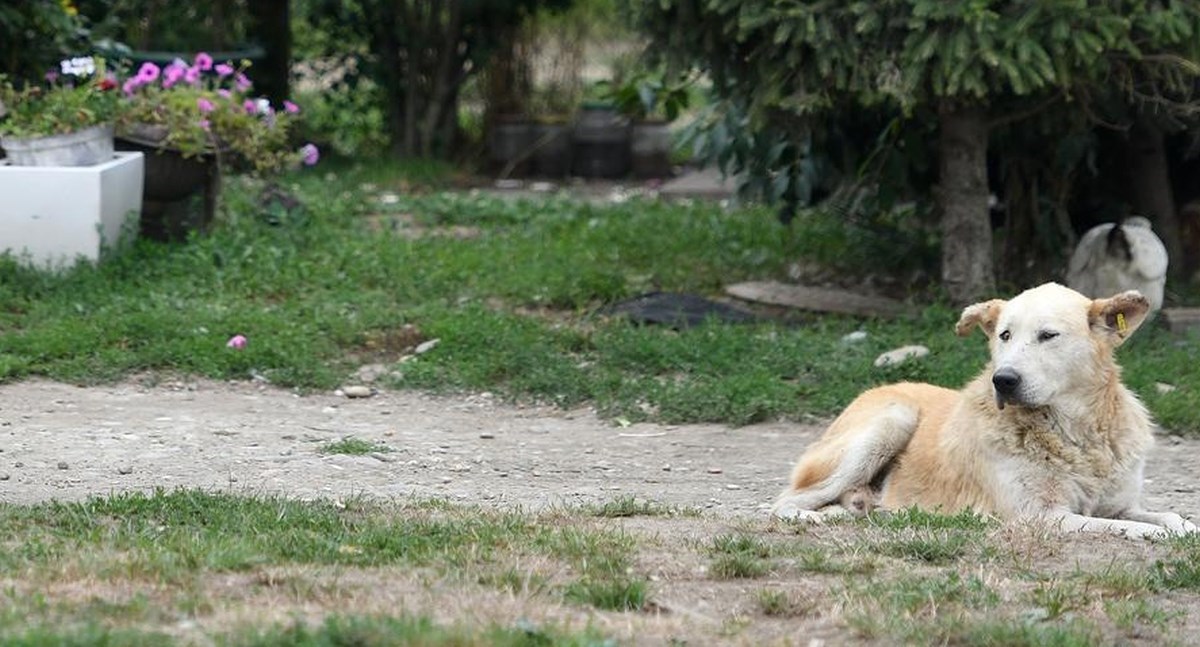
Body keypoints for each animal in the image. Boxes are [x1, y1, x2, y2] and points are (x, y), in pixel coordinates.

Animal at [772, 283, 1195, 542]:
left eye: (1048, 336)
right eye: (1004, 335)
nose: (1003, 380)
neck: (1076, 433)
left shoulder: (1125, 505)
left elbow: (1170, 517)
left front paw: (1184, 526)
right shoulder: (1041, 515)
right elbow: (1119, 527)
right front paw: (1159, 534)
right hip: (892, 421)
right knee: (784, 502)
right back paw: (819, 516)